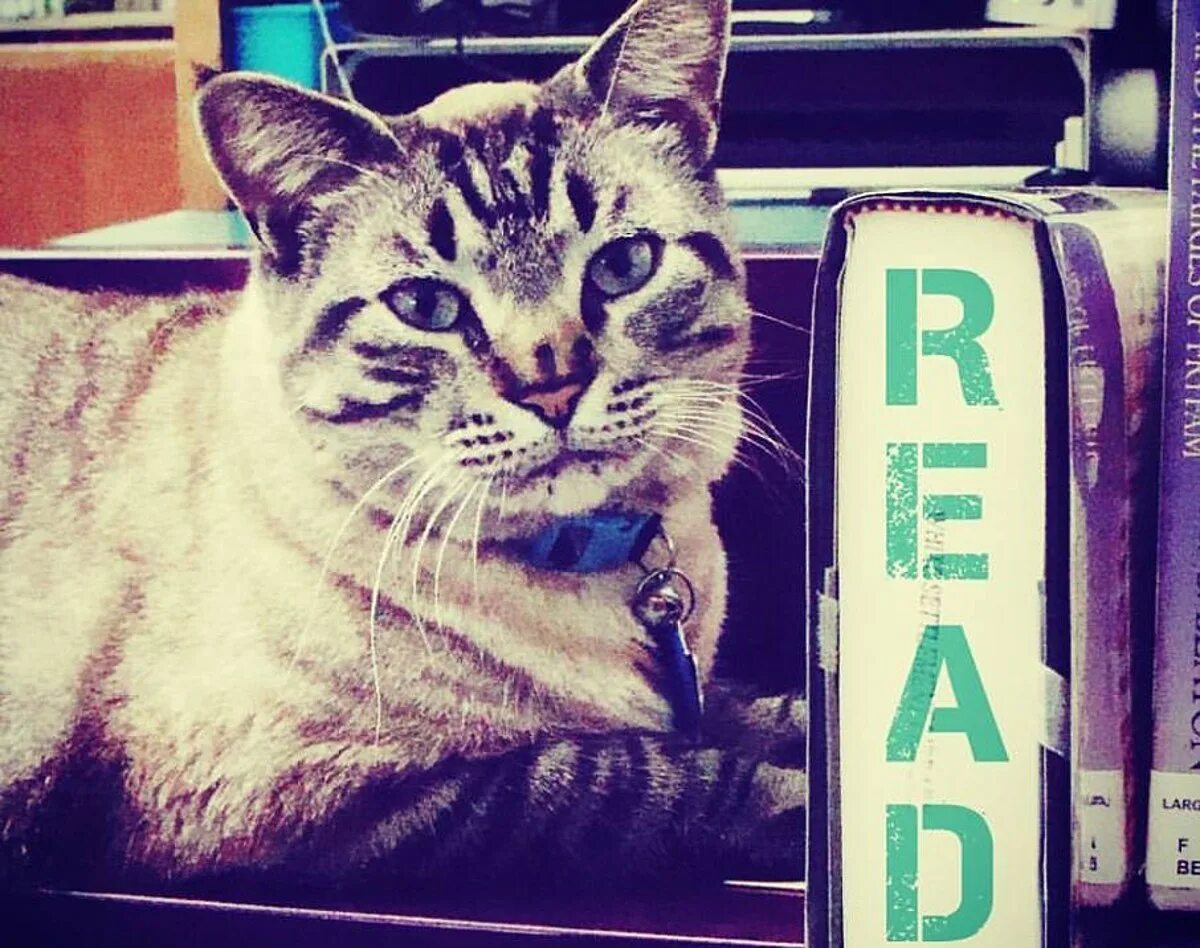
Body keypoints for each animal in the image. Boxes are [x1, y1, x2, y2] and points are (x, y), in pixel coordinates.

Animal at [0, 0, 805, 893]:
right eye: (425, 307)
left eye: (624, 264)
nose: (553, 386)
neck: (595, 568)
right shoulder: (297, 794)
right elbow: (629, 771)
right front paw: (803, 805)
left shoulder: (696, 687)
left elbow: (740, 710)